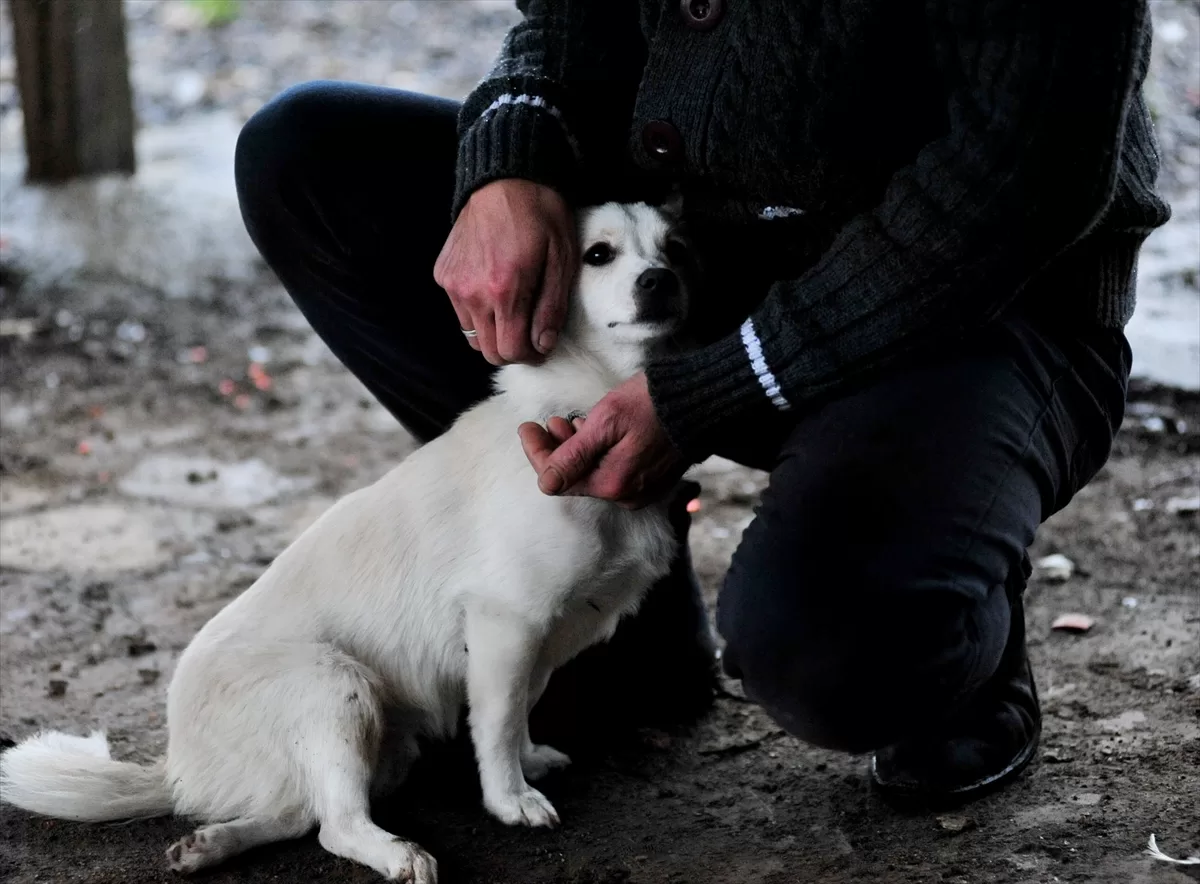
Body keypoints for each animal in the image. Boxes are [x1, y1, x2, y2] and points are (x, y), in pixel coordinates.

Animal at [0, 201, 696, 882]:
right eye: (598, 254)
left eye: (676, 248)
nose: (661, 281)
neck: (578, 404)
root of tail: (177, 764)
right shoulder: (507, 622)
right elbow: (497, 724)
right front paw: (510, 800)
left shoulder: (542, 638)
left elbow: (522, 706)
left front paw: (529, 761)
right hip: (337, 688)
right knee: (335, 826)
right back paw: (398, 855)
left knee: (298, 816)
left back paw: (208, 845)